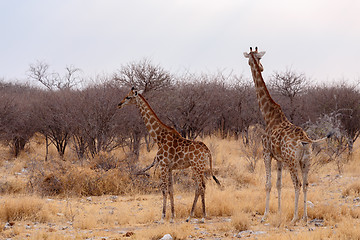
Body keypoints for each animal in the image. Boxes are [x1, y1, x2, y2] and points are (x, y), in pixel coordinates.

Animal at [118, 87, 221, 223]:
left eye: (128, 97)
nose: (119, 104)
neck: (158, 137)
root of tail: (207, 151)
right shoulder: (170, 167)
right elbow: (171, 190)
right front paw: (172, 217)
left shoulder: (163, 165)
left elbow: (164, 190)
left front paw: (162, 217)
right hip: (198, 168)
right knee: (199, 187)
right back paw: (189, 216)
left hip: (197, 167)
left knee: (201, 187)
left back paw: (203, 217)